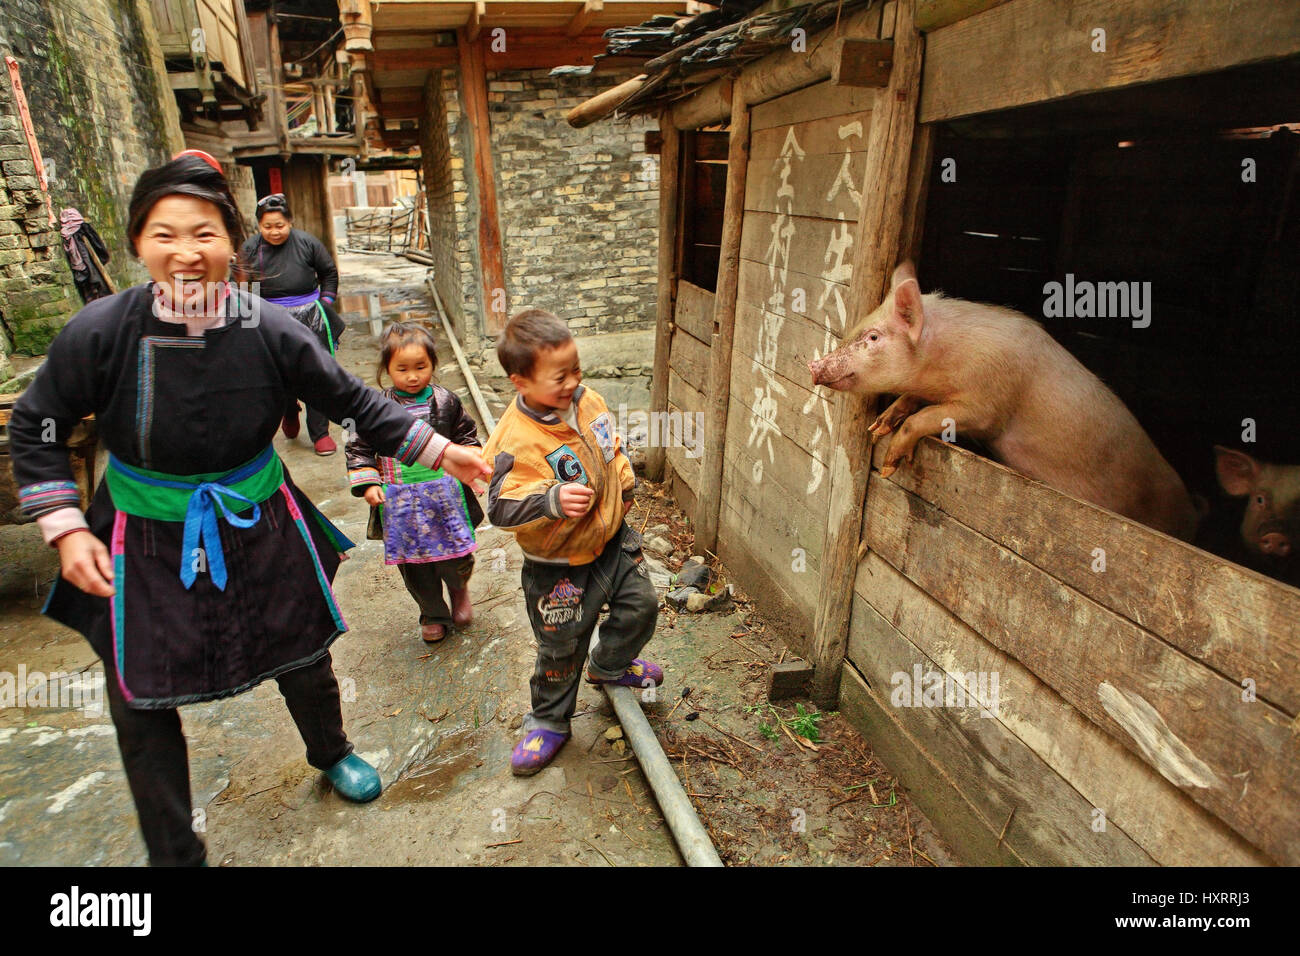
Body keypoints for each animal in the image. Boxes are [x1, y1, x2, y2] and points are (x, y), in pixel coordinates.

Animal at [806, 265, 1201, 541]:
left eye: (873, 337)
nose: (814, 364)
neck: (942, 363)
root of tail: (1192, 510)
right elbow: (913, 398)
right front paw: (878, 426)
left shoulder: (986, 407)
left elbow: (930, 416)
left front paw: (889, 465)